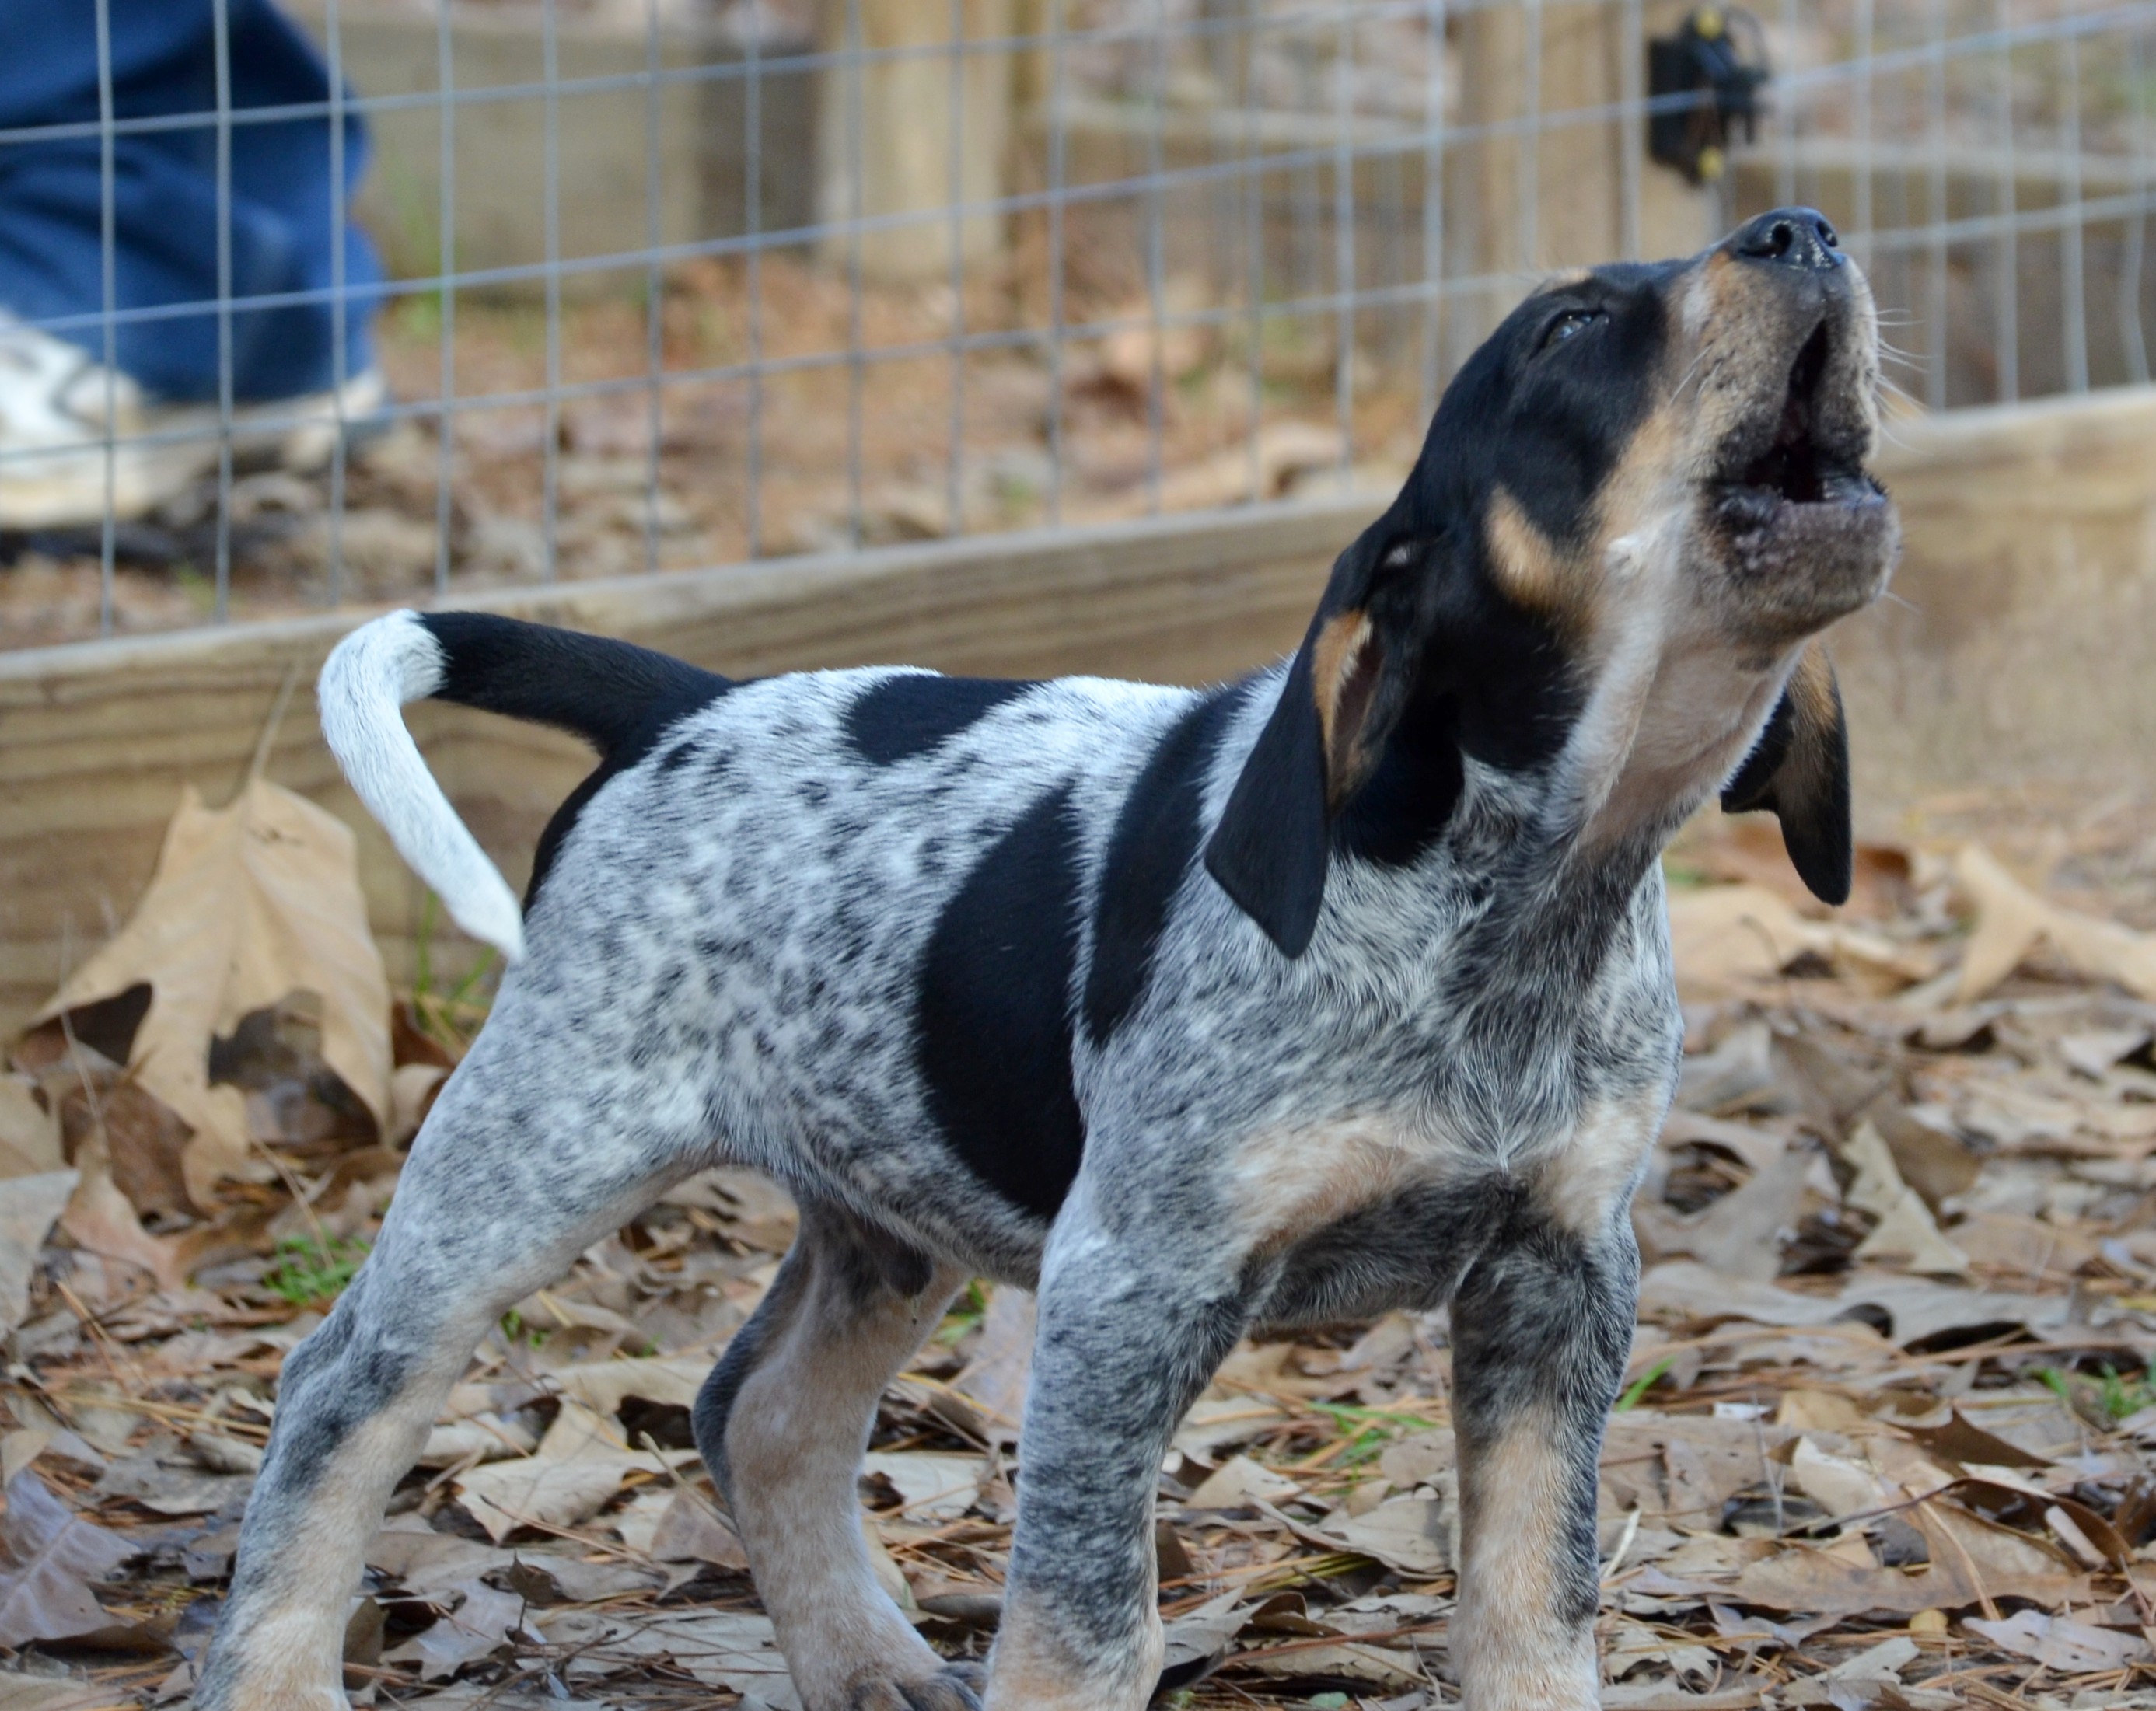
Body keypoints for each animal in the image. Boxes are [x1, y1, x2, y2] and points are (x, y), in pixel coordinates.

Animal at [198, 210, 1889, 1706]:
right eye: (1570, 327)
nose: (1801, 227)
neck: (1522, 898)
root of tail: (685, 701)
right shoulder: (1130, 1280)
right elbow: (1084, 1632)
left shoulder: (1560, 1271)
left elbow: (1537, 1600)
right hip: (536, 1150)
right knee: (341, 1393)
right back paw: (275, 1674)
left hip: (887, 1201)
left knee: (761, 1411)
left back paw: (865, 1663)